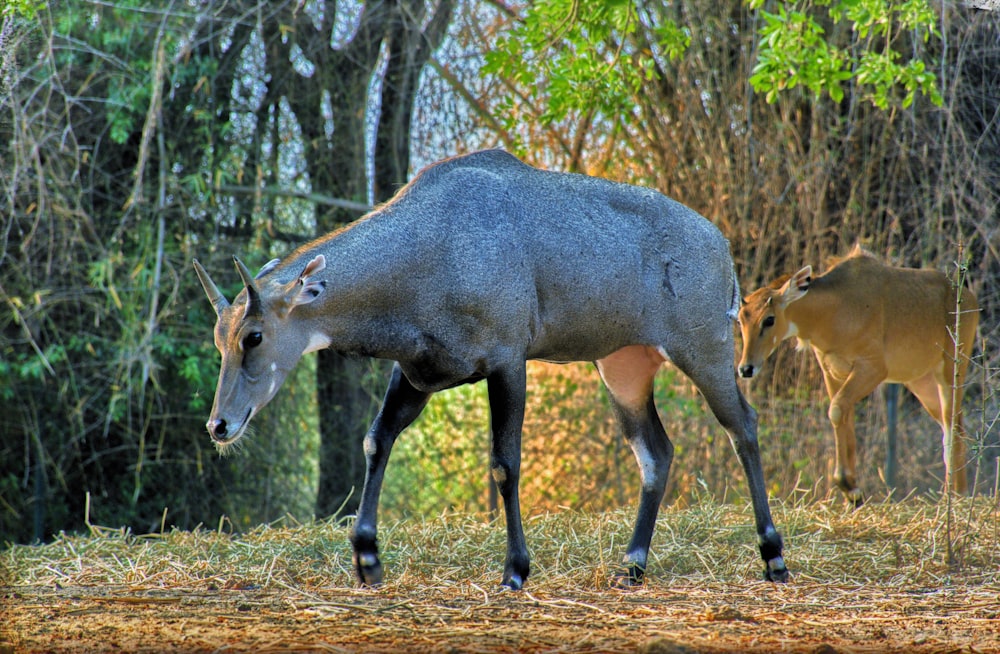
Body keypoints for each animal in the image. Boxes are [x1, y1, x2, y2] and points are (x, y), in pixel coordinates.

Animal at [195, 151, 788, 592]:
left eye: (253, 336)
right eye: (219, 336)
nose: (219, 426)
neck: (430, 247)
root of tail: (722, 246)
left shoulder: (507, 361)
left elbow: (504, 464)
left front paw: (515, 570)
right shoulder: (418, 372)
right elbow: (376, 440)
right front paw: (366, 558)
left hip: (705, 351)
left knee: (744, 427)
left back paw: (773, 555)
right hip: (623, 367)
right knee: (656, 453)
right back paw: (632, 565)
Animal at [740, 245, 980, 502]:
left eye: (769, 319)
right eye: (740, 319)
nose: (746, 368)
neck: (832, 312)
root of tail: (969, 297)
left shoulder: (873, 368)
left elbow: (836, 410)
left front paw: (848, 486)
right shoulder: (833, 372)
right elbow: (843, 419)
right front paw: (852, 493)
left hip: (951, 371)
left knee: (953, 426)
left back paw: (958, 495)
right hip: (921, 382)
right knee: (949, 428)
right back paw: (950, 494)